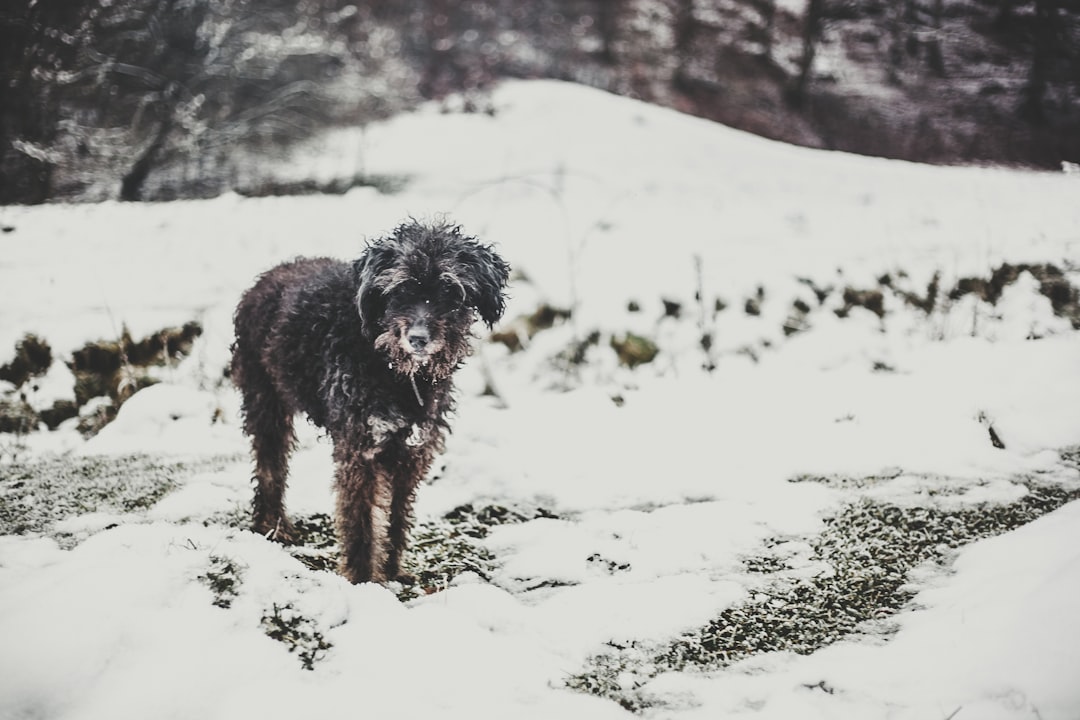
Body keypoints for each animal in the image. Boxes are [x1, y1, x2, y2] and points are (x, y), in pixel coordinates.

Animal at [232, 221, 509, 587]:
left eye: (450, 291)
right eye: (400, 290)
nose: (418, 339)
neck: (395, 371)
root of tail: (269, 275)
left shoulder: (412, 452)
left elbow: (397, 516)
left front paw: (393, 571)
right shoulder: (360, 449)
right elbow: (361, 521)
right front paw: (364, 582)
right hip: (266, 405)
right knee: (269, 469)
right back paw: (273, 526)